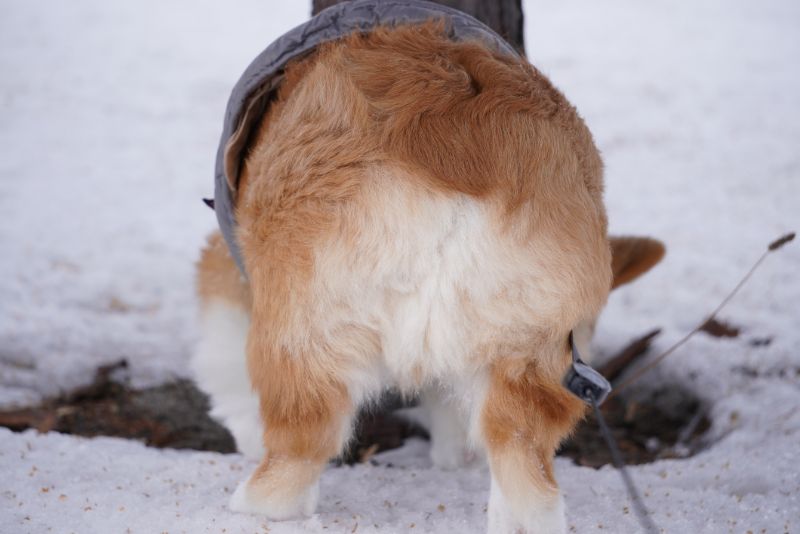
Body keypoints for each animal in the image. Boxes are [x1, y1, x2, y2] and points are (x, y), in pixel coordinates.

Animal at [191, 22, 660, 534]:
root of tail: (461, 140)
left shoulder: (232, 266)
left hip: (308, 328)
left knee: (298, 450)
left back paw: (251, 508)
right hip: (524, 348)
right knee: (525, 469)